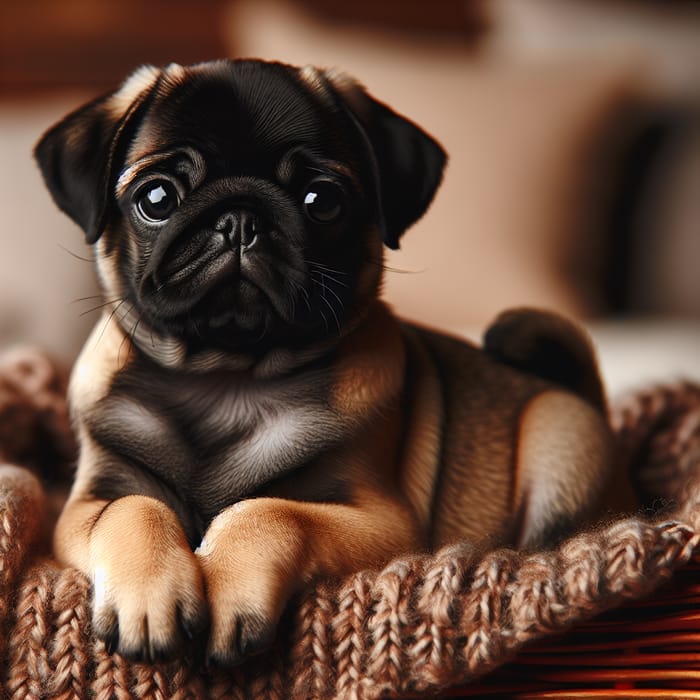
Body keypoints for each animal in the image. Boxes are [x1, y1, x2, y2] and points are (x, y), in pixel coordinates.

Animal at [34, 57, 612, 664]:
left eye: (321, 201)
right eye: (157, 199)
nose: (239, 219)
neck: (225, 375)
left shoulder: (383, 520)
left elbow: (269, 510)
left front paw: (231, 585)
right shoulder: (88, 501)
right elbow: (133, 508)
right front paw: (150, 595)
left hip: (559, 432)